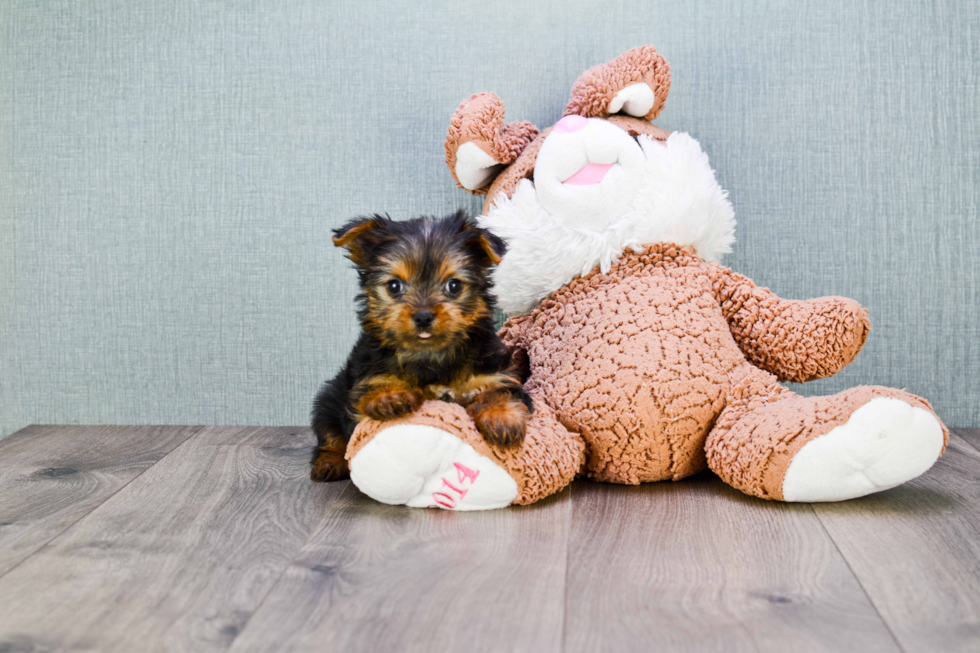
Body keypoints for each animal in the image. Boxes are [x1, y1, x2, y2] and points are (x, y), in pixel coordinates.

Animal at [310, 211, 532, 482]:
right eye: (394, 286)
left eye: (454, 286)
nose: (424, 315)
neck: (430, 355)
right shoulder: (365, 379)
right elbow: (369, 398)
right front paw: (389, 396)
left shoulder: (495, 372)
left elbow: (498, 391)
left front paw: (501, 418)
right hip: (329, 397)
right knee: (328, 434)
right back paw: (329, 461)